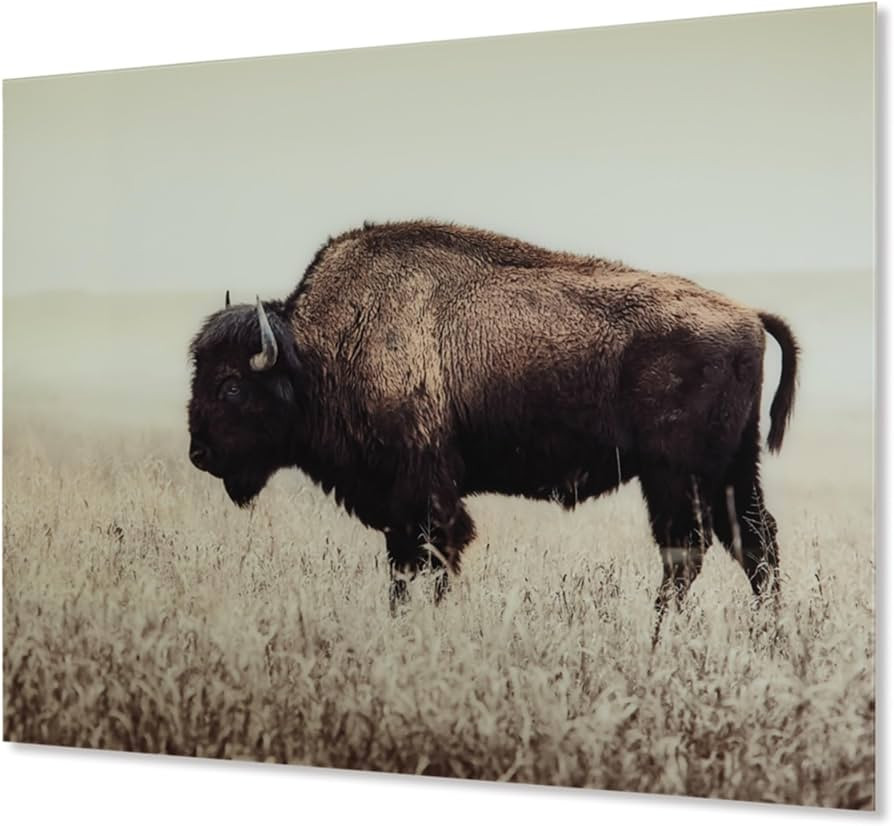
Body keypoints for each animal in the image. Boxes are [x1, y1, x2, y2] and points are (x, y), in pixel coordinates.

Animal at [188, 220, 798, 621]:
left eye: (231, 385)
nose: (200, 454)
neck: (316, 353)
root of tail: (748, 314)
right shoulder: (400, 505)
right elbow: (403, 565)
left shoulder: (425, 493)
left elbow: (431, 558)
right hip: (731, 469)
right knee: (753, 542)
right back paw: (766, 636)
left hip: (676, 474)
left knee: (688, 550)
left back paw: (659, 633)